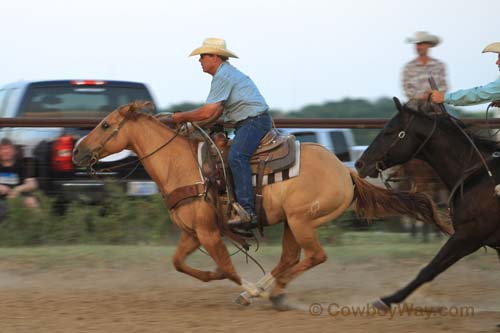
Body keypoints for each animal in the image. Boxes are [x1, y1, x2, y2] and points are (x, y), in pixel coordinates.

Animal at [73, 100, 446, 308]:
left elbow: (226, 267)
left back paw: (270, 293)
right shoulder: (192, 233)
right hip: (293, 224)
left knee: (314, 257)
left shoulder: (209, 233)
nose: (77, 151)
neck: (181, 165)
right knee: (289, 259)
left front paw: (246, 285)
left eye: (105, 124)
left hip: (302, 221)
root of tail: (347, 171)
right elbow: (180, 263)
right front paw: (223, 281)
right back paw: (263, 292)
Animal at [358, 97, 500, 310]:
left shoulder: (469, 235)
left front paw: (387, 300)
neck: (480, 176)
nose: (359, 163)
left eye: (389, 131)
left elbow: (429, 270)